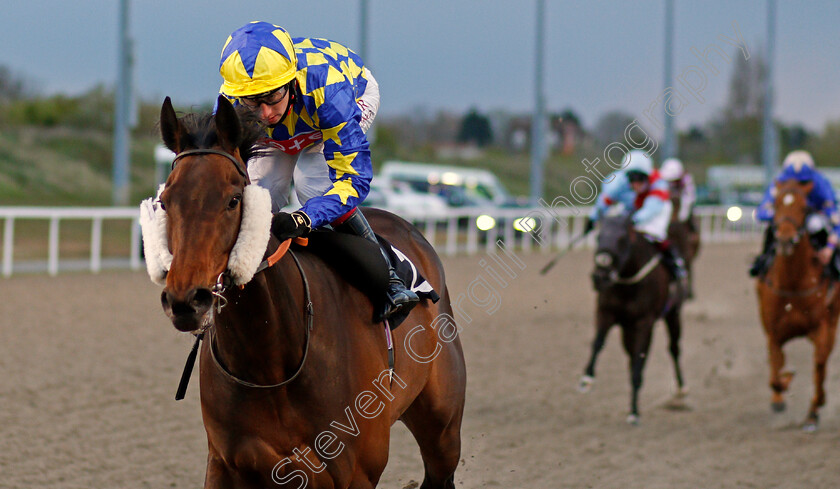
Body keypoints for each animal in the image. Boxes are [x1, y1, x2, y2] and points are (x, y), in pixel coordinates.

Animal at [152, 96, 466, 488]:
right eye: (165, 201)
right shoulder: (227, 463)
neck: (270, 362)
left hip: (443, 430)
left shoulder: (355, 470)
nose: (186, 300)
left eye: (233, 200)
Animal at [576, 214, 688, 424]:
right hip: (627, 329)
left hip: (672, 314)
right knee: (630, 354)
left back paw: (681, 389)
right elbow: (598, 343)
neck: (627, 283)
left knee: (674, 349)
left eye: (622, 239)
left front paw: (634, 412)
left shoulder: (644, 323)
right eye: (598, 237)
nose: (599, 277)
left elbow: (639, 363)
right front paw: (587, 378)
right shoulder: (605, 313)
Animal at [756, 179, 836, 430]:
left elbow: (819, 364)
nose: (785, 238)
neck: (793, 285)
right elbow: (775, 374)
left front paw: (815, 408)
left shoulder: (822, 327)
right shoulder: (773, 332)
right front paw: (782, 390)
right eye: (776, 205)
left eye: (804, 208)